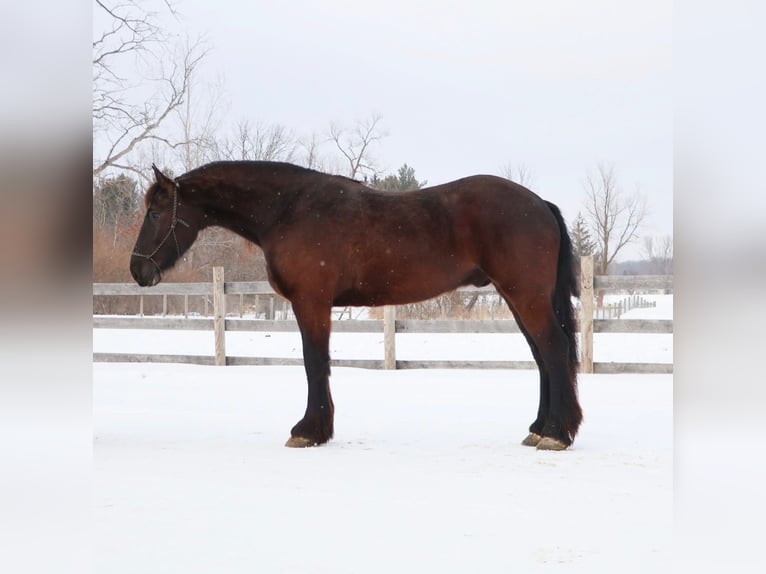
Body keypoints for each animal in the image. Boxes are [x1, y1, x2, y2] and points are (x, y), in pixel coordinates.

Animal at [130, 161, 582, 450]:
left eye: (155, 211)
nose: (137, 269)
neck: (288, 208)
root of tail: (540, 204)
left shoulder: (311, 302)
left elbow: (315, 362)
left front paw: (309, 430)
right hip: (517, 298)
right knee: (543, 357)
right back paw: (540, 428)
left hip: (525, 296)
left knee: (554, 350)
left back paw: (555, 434)